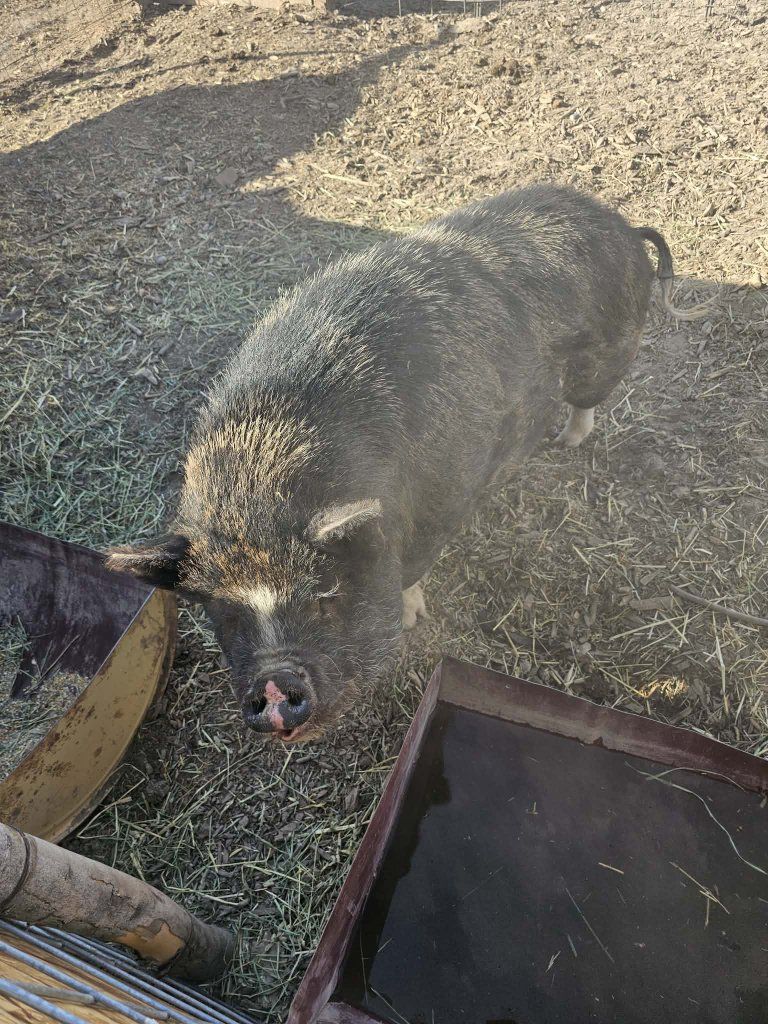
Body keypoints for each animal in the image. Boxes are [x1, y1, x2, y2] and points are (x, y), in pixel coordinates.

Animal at [107, 183, 704, 743]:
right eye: (222, 613)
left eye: (325, 593)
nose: (275, 690)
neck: (260, 482)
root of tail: (621, 225)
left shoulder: (446, 501)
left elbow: (415, 569)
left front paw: (414, 617)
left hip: (606, 355)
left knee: (586, 400)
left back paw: (567, 442)